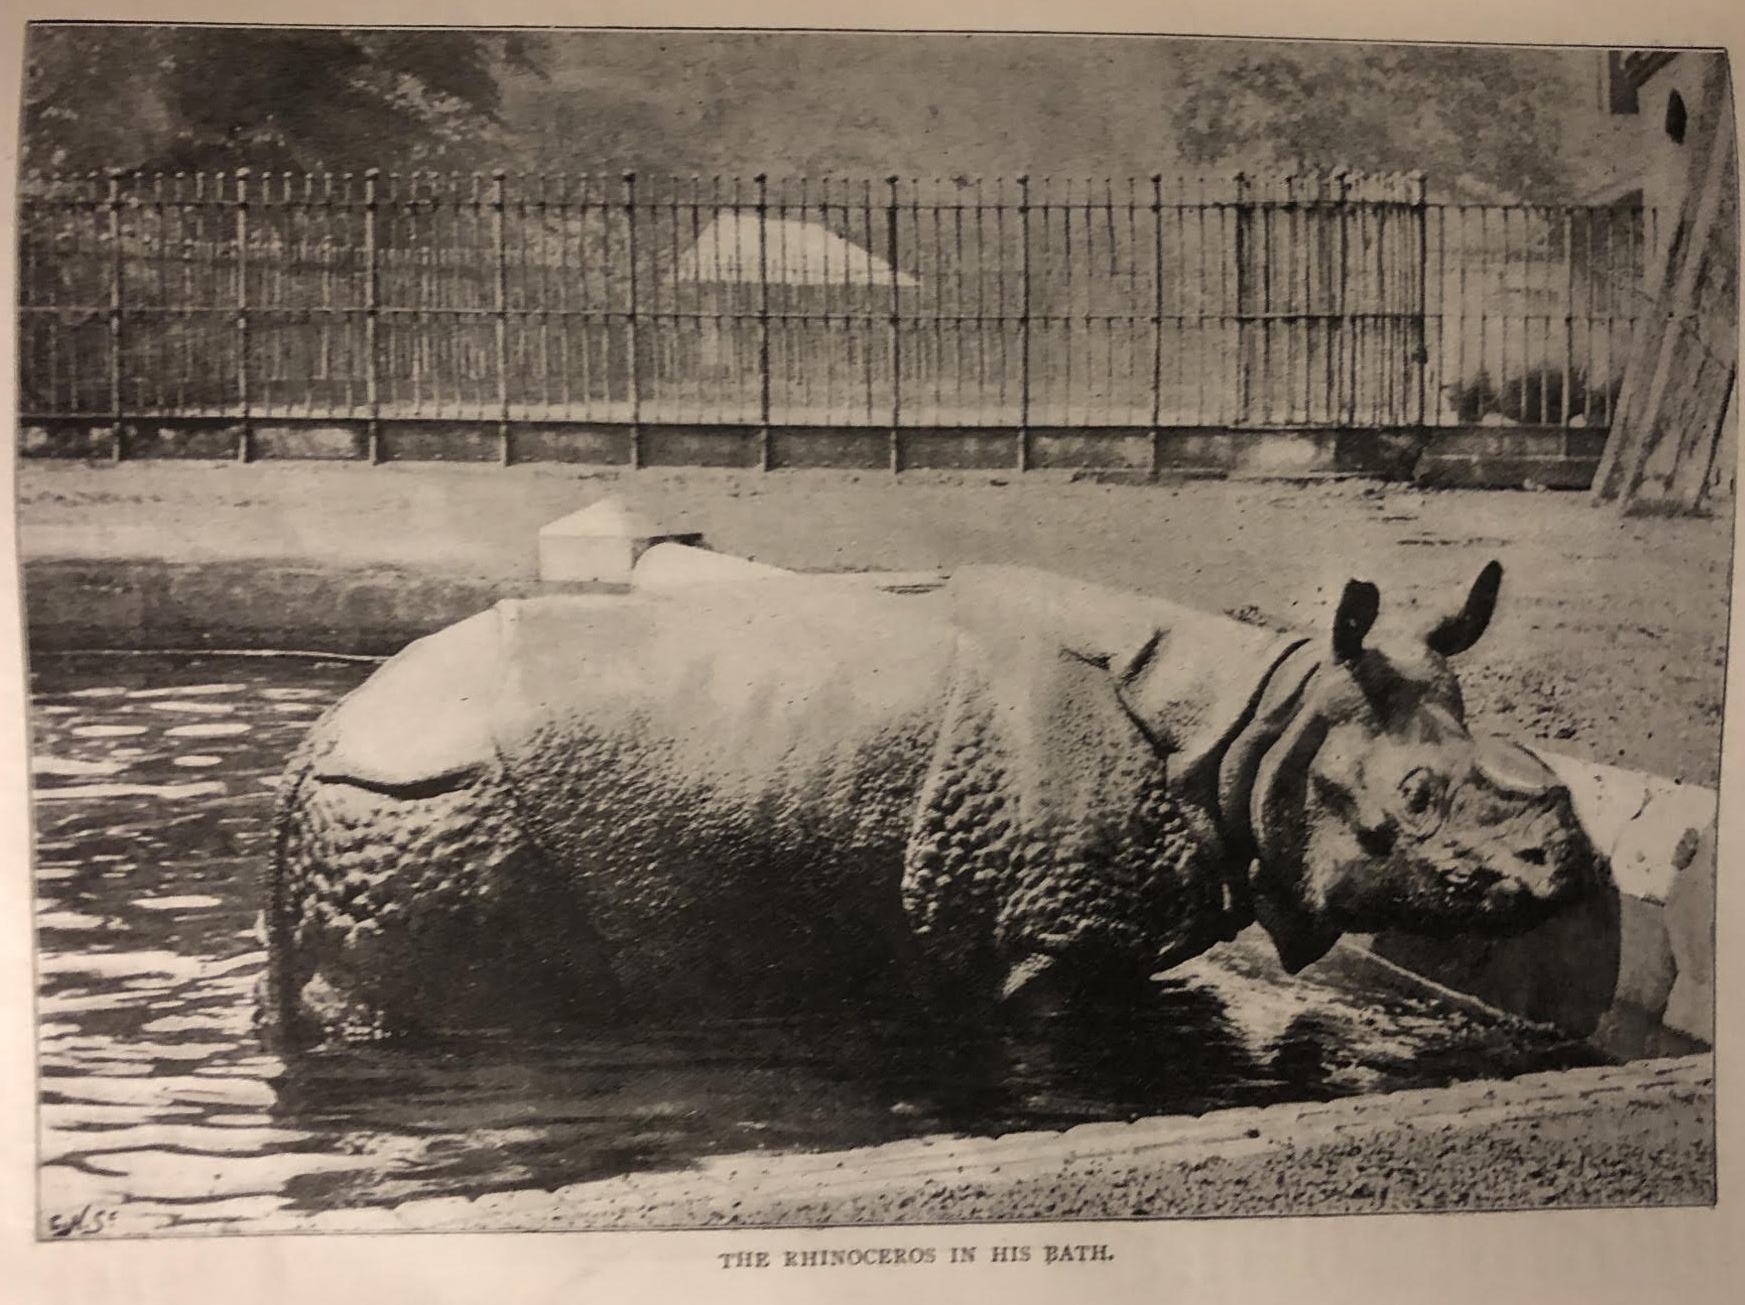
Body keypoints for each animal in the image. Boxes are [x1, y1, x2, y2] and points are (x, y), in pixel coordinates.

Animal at [260, 562, 1597, 1046]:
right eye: (1414, 798)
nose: (1567, 867)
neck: (1262, 732)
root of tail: (319, 737)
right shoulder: (1049, 940)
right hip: (428, 805)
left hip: (396, 800)